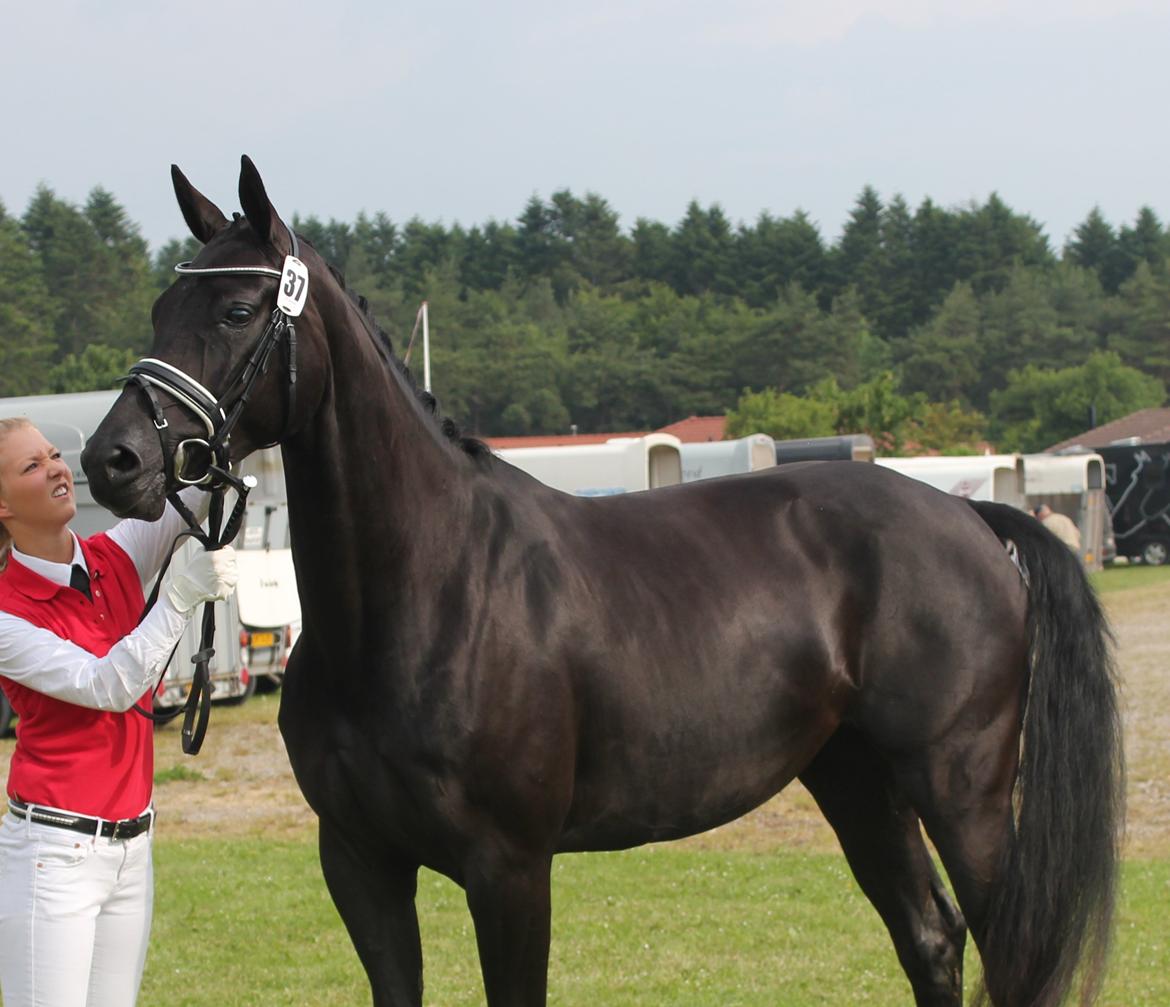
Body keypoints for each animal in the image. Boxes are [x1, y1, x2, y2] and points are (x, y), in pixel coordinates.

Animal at [82, 156, 1123, 1005]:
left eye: (236, 310)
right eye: (158, 312)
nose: (113, 459)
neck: (422, 597)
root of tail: (967, 519)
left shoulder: (510, 870)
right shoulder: (361, 863)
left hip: (961, 789)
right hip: (858, 781)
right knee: (929, 939)